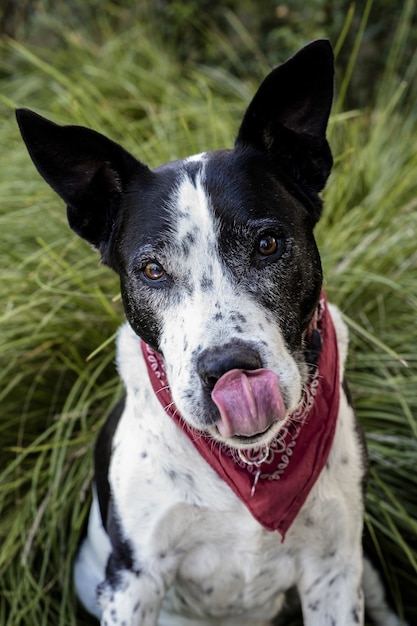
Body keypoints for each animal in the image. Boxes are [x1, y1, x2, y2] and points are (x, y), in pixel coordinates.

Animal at [17, 39, 404, 624]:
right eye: (153, 270)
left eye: (267, 244)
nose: (228, 371)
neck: (251, 468)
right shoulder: (133, 580)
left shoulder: (334, 572)